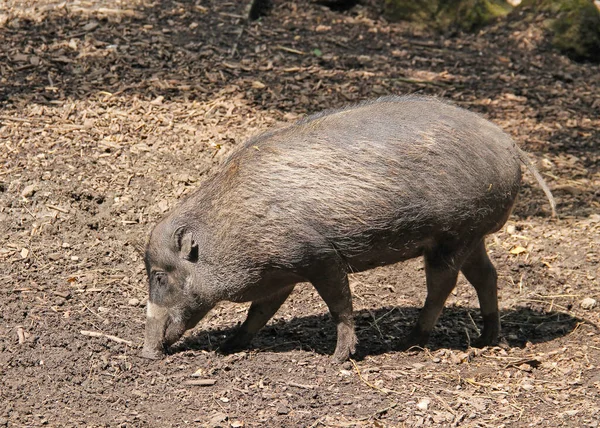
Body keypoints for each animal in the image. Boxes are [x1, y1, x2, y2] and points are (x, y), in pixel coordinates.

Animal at [139, 96, 552, 362]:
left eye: (159, 277)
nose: (145, 354)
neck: (233, 227)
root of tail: (511, 144)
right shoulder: (279, 274)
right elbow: (260, 311)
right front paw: (230, 347)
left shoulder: (320, 256)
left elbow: (340, 304)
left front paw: (337, 359)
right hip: (472, 235)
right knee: (487, 275)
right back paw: (485, 340)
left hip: (452, 235)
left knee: (444, 285)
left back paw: (409, 342)